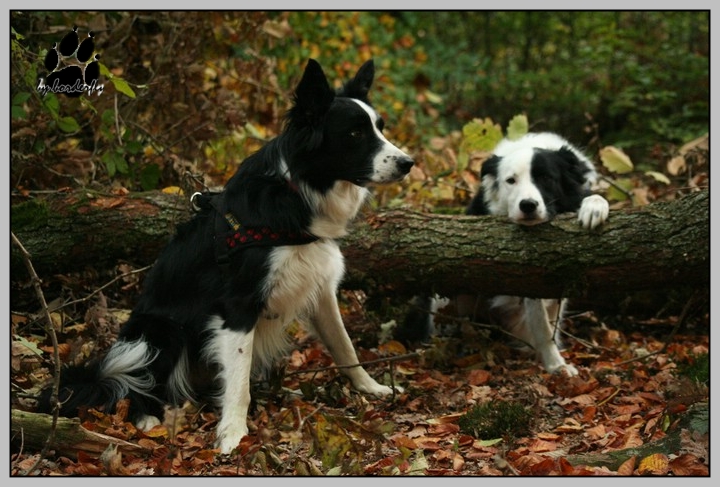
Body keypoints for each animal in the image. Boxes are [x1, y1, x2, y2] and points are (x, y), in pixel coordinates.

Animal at [38, 59, 410, 456]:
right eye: (355, 134)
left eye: (380, 128)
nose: (409, 163)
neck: (295, 191)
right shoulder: (238, 305)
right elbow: (239, 383)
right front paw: (233, 434)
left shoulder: (320, 289)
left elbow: (345, 346)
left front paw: (371, 387)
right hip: (159, 332)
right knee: (134, 384)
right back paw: (147, 420)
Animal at [394, 132, 608, 378]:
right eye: (511, 181)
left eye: (546, 178)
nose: (528, 205)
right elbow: (543, 326)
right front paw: (556, 364)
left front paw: (594, 207)